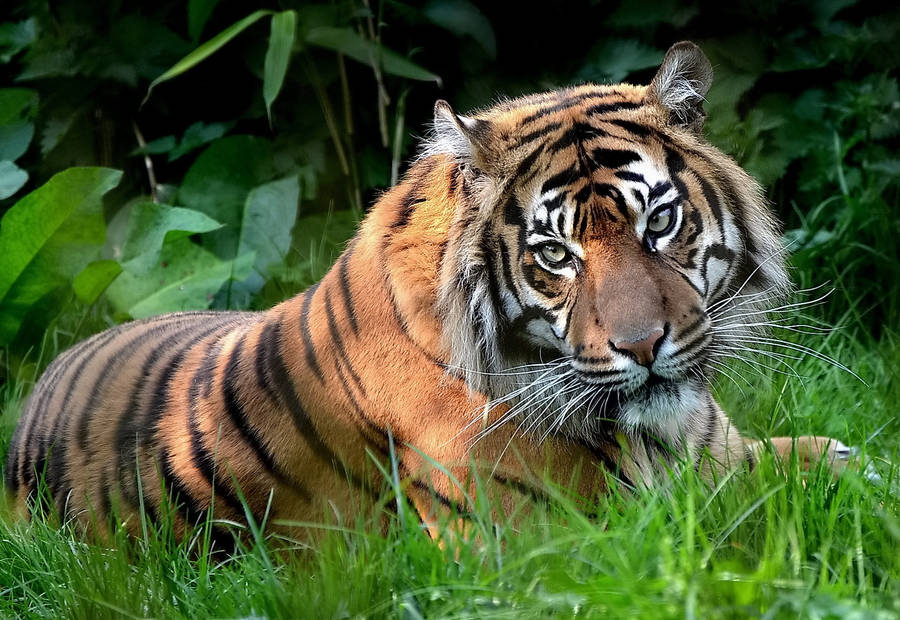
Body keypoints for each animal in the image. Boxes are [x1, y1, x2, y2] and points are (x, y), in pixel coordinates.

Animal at [4, 42, 852, 547]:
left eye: (661, 222)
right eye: (555, 254)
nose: (643, 347)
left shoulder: (725, 459)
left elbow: (838, 457)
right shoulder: (549, 541)